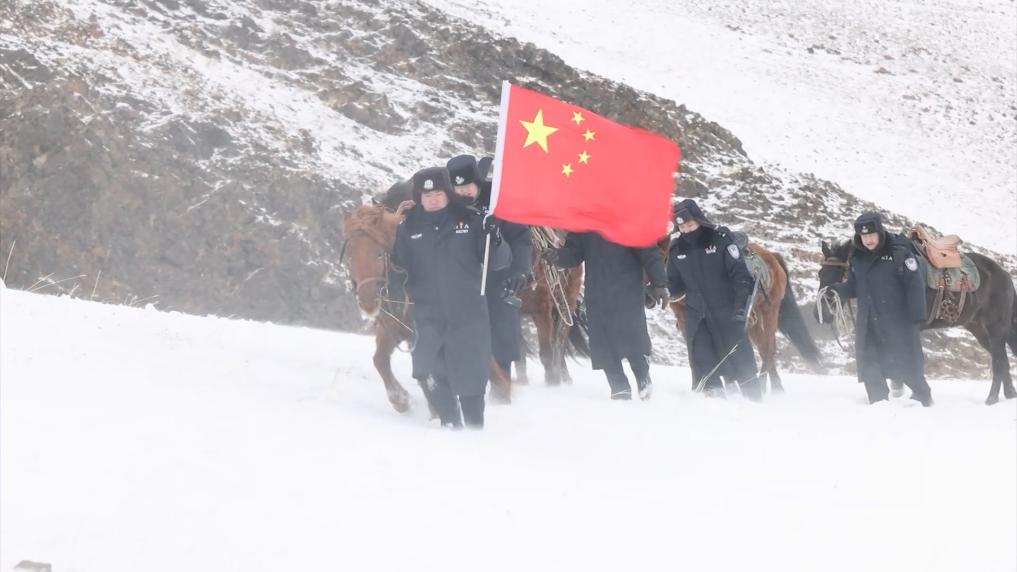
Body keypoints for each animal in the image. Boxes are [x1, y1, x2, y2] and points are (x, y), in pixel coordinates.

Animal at [817, 239, 1017, 405]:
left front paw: (904, 391)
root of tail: (1005, 275)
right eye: (820, 273)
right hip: (979, 329)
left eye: (839, 272)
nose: (821, 313)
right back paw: (1009, 393)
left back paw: (992, 398)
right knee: (1003, 360)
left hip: (995, 328)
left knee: (999, 361)